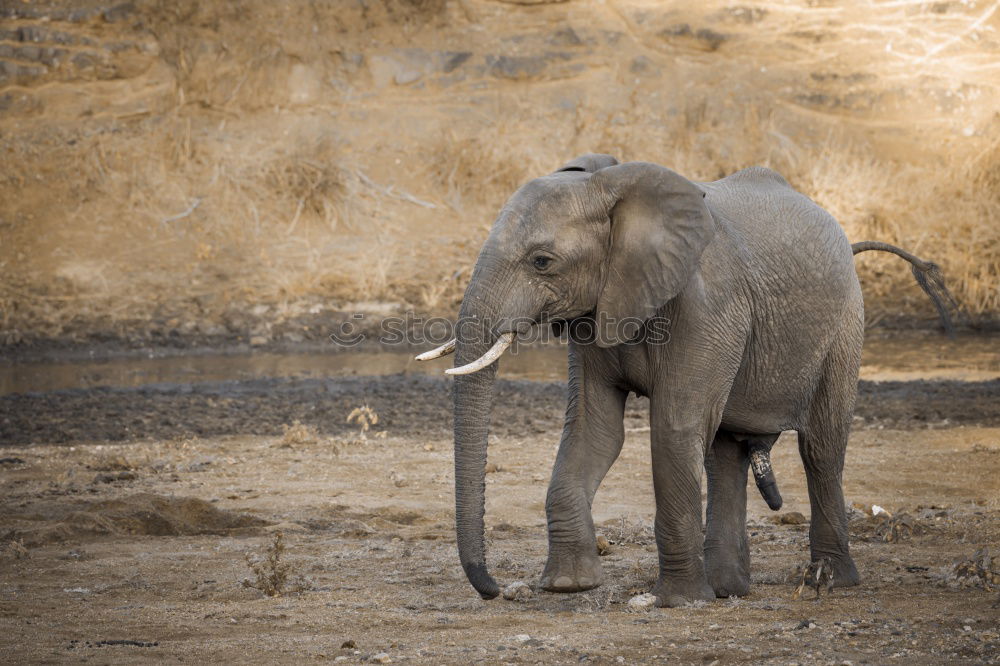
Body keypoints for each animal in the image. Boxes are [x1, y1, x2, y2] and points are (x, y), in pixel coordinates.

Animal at [412, 153, 952, 604]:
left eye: (542, 261)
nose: (496, 590)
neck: (615, 189)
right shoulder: (600, 308)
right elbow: (594, 431)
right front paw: (569, 586)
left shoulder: (708, 306)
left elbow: (673, 428)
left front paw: (675, 601)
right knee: (724, 453)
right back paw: (729, 589)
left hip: (844, 326)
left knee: (820, 448)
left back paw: (827, 581)